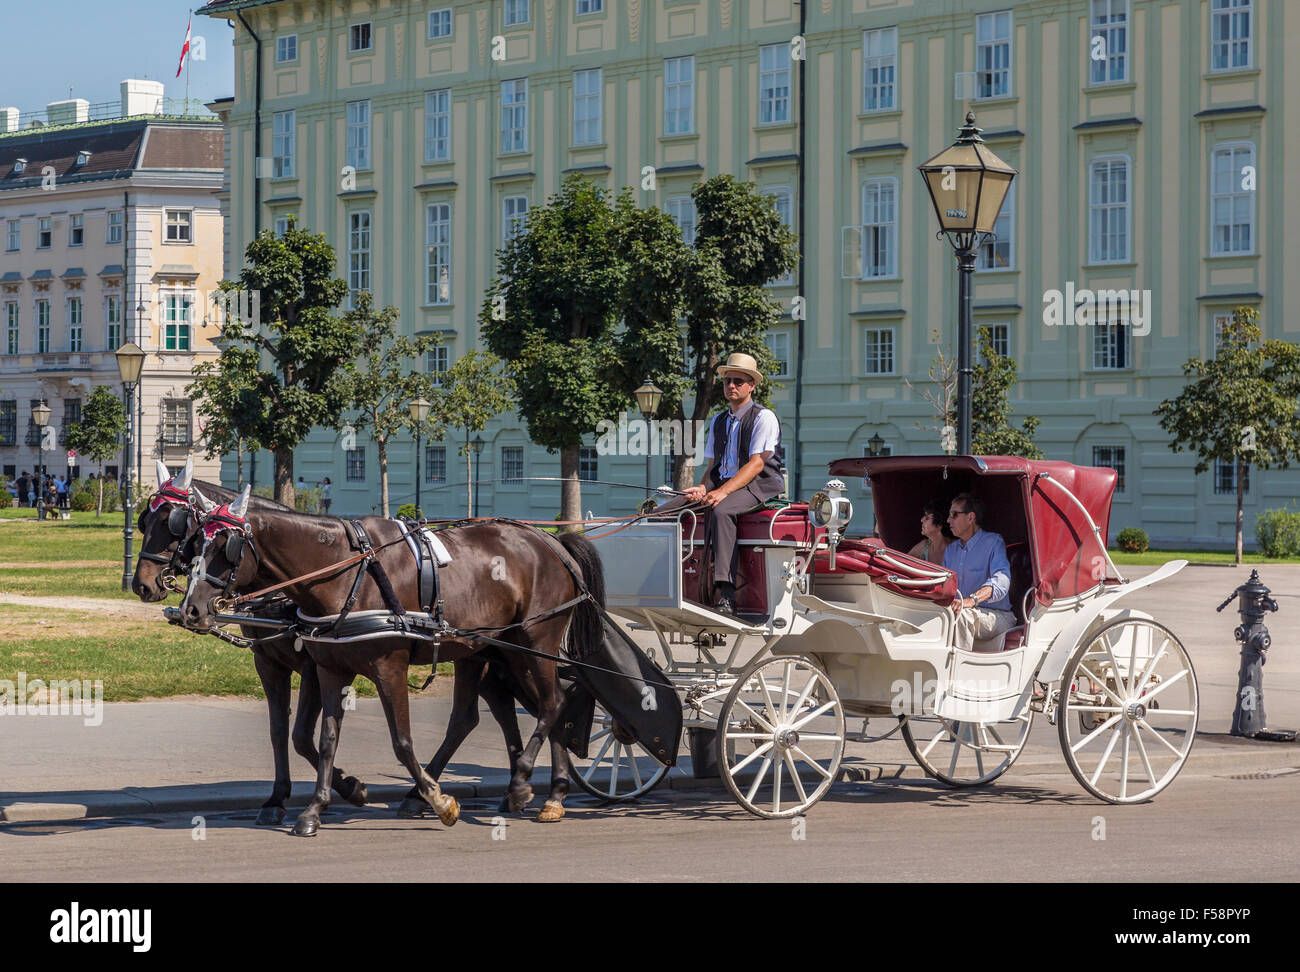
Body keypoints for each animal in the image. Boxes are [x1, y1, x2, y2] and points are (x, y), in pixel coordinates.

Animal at [179, 488, 608, 836]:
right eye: (196, 543)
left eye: (225, 548)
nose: (190, 609)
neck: (346, 572)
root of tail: (552, 542)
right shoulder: (328, 669)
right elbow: (325, 738)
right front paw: (316, 808)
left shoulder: (388, 667)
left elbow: (400, 742)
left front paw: (441, 801)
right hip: (494, 650)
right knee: (498, 713)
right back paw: (544, 793)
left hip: (534, 641)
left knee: (552, 703)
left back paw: (522, 783)